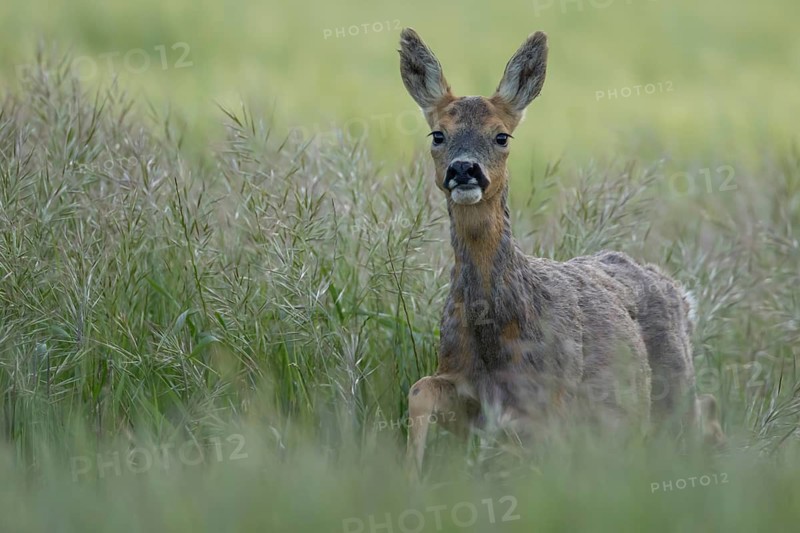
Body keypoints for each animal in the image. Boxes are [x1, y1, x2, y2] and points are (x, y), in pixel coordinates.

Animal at [398, 28, 724, 478]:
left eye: (501, 136)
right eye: (438, 134)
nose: (464, 170)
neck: (494, 329)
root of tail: (680, 293)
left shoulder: (548, 399)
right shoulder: (463, 384)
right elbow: (419, 390)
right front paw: (411, 474)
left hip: (673, 386)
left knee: (701, 416)